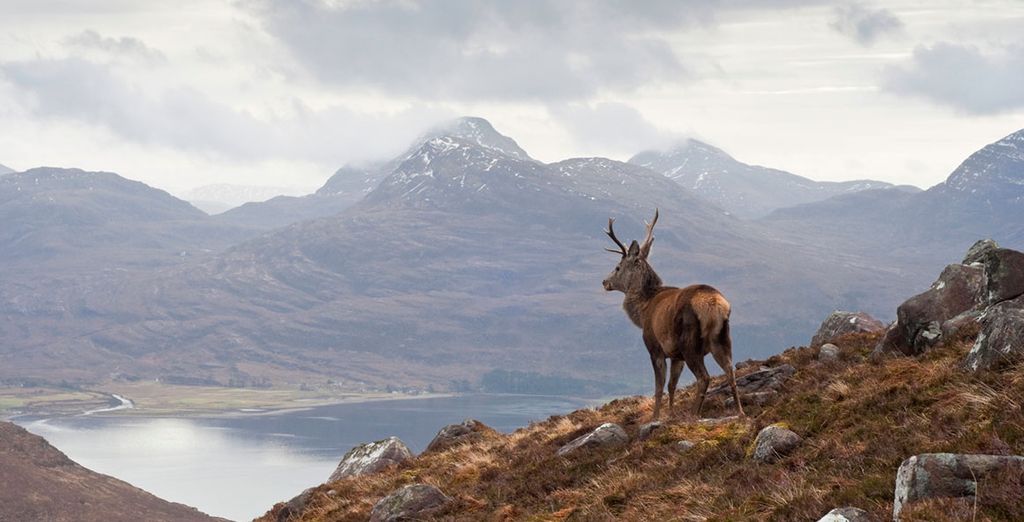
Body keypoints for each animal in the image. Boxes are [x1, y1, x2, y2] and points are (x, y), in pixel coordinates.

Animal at [598, 209, 745, 417]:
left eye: (618, 267)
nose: (605, 282)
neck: (642, 313)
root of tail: (715, 304)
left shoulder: (655, 348)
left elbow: (659, 387)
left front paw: (656, 416)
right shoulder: (676, 356)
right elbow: (672, 385)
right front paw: (671, 414)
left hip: (689, 342)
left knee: (704, 377)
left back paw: (693, 414)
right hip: (723, 338)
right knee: (730, 372)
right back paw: (740, 412)